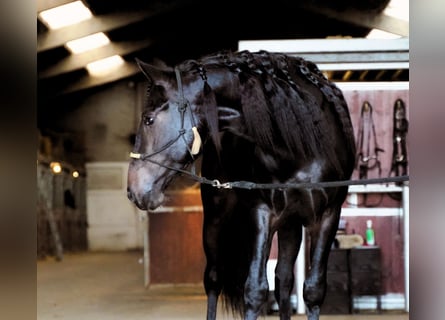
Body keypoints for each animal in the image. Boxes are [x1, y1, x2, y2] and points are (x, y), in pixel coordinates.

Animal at [126, 50, 356, 320]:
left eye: (148, 119)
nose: (133, 190)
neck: (301, 145)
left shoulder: (328, 216)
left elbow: (313, 290)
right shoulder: (262, 213)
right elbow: (255, 290)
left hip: (290, 224)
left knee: (283, 280)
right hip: (216, 219)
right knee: (214, 279)